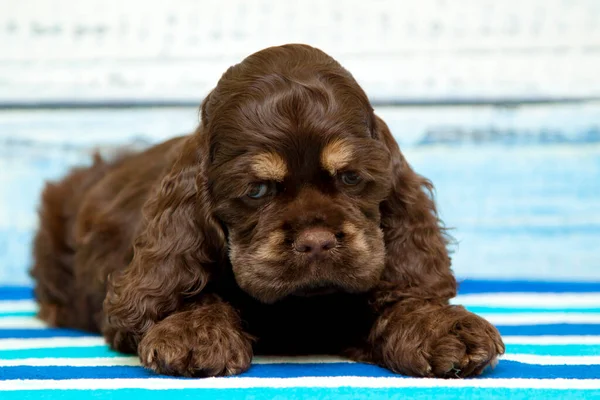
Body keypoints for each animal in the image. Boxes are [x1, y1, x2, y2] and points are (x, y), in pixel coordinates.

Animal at [30, 43, 504, 378]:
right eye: (257, 189)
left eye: (351, 177)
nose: (316, 243)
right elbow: (179, 291)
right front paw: (194, 329)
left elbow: (395, 302)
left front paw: (441, 327)